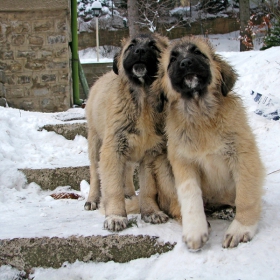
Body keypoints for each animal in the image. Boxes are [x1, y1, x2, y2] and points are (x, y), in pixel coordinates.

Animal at [85, 33, 168, 232]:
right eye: (131, 46)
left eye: (153, 46)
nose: (140, 51)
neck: (142, 99)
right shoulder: (112, 149)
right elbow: (113, 188)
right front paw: (115, 216)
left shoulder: (150, 154)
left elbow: (148, 188)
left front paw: (151, 212)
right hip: (95, 142)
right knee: (95, 173)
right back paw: (92, 199)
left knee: (128, 172)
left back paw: (130, 194)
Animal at [154, 36, 266, 249]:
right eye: (173, 59)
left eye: (197, 53)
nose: (186, 63)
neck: (200, 115)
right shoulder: (182, 161)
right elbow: (190, 196)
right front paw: (195, 230)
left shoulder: (243, 155)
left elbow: (246, 195)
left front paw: (241, 227)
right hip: (163, 167)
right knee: (175, 205)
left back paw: (228, 210)